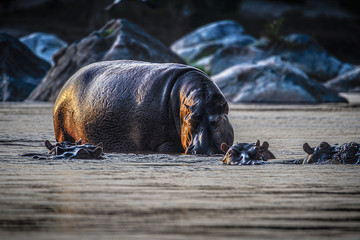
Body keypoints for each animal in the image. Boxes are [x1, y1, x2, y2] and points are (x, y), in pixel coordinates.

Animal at [52, 60, 233, 154]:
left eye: (216, 122)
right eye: (191, 121)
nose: (203, 150)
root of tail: (69, 78)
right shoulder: (163, 143)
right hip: (62, 131)